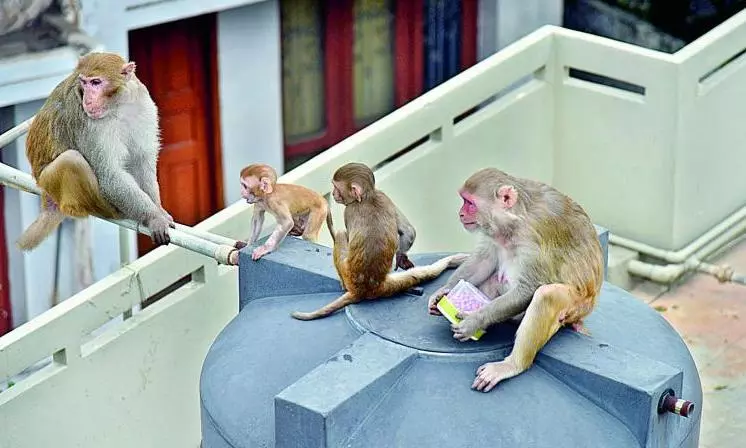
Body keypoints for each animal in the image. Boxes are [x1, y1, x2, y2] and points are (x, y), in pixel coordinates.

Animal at [16, 51, 173, 251]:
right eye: (84, 82)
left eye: (96, 82)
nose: (87, 100)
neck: (118, 106)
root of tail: (46, 194)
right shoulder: (89, 125)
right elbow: (110, 175)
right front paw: (154, 217)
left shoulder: (143, 105)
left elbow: (141, 160)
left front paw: (158, 210)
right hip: (60, 186)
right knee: (71, 159)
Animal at [291, 162, 467, 321]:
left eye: (336, 187)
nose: (333, 194)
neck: (366, 197)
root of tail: (365, 290)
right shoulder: (383, 196)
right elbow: (409, 231)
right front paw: (401, 257)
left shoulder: (350, 209)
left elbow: (341, 233)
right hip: (389, 283)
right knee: (425, 272)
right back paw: (451, 261)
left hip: (348, 274)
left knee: (341, 234)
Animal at [427, 167, 604, 393]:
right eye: (464, 200)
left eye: (470, 203)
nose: (461, 214)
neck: (515, 219)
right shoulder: (494, 233)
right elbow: (484, 261)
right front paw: (443, 292)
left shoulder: (534, 236)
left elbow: (530, 288)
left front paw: (475, 320)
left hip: (577, 306)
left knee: (546, 295)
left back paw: (512, 365)